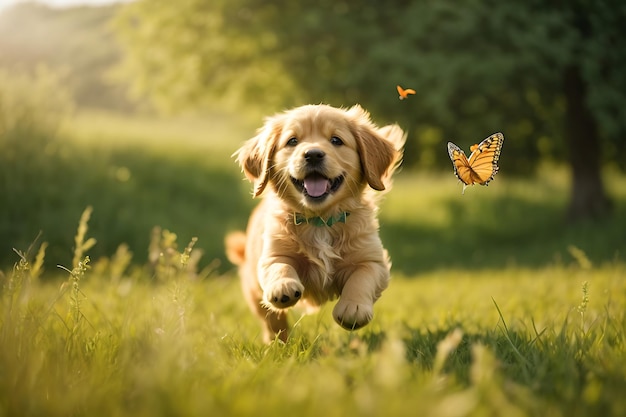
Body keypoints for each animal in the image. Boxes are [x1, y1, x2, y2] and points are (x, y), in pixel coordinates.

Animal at [225, 103, 404, 342]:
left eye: (336, 140)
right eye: (292, 141)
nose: (313, 154)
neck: (320, 220)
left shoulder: (373, 260)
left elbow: (362, 278)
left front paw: (353, 308)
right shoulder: (271, 254)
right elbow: (279, 266)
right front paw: (283, 286)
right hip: (254, 290)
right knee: (272, 321)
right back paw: (277, 343)